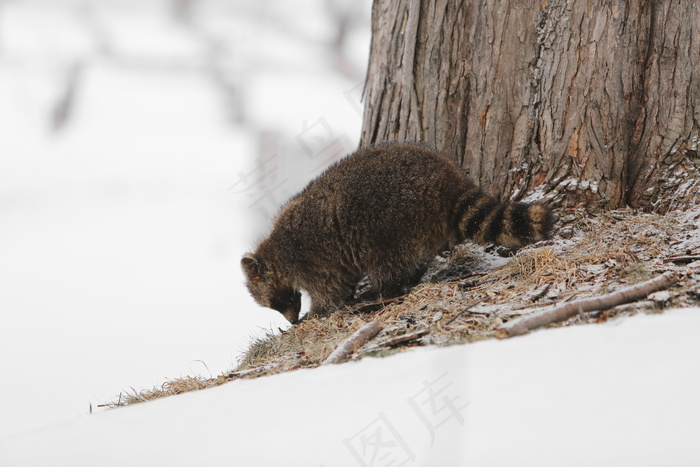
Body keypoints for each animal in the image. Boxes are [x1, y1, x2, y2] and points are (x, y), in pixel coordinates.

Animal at [241, 144, 552, 326]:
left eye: (278, 302)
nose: (292, 322)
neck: (274, 252)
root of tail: (447, 182)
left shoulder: (312, 259)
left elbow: (331, 290)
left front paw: (316, 312)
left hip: (392, 220)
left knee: (388, 263)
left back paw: (383, 291)